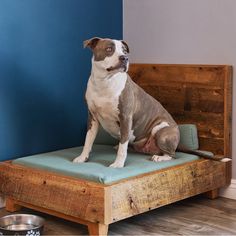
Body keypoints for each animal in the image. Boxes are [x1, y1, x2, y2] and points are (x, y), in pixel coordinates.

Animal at [72, 37, 219, 167]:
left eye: (124, 51)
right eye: (109, 49)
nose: (125, 58)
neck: (105, 82)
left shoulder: (125, 118)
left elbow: (123, 146)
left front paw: (118, 164)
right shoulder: (92, 118)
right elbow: (88, 141)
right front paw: (82, 157)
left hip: (160, 131)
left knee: (172, 154)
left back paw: (160, 157)